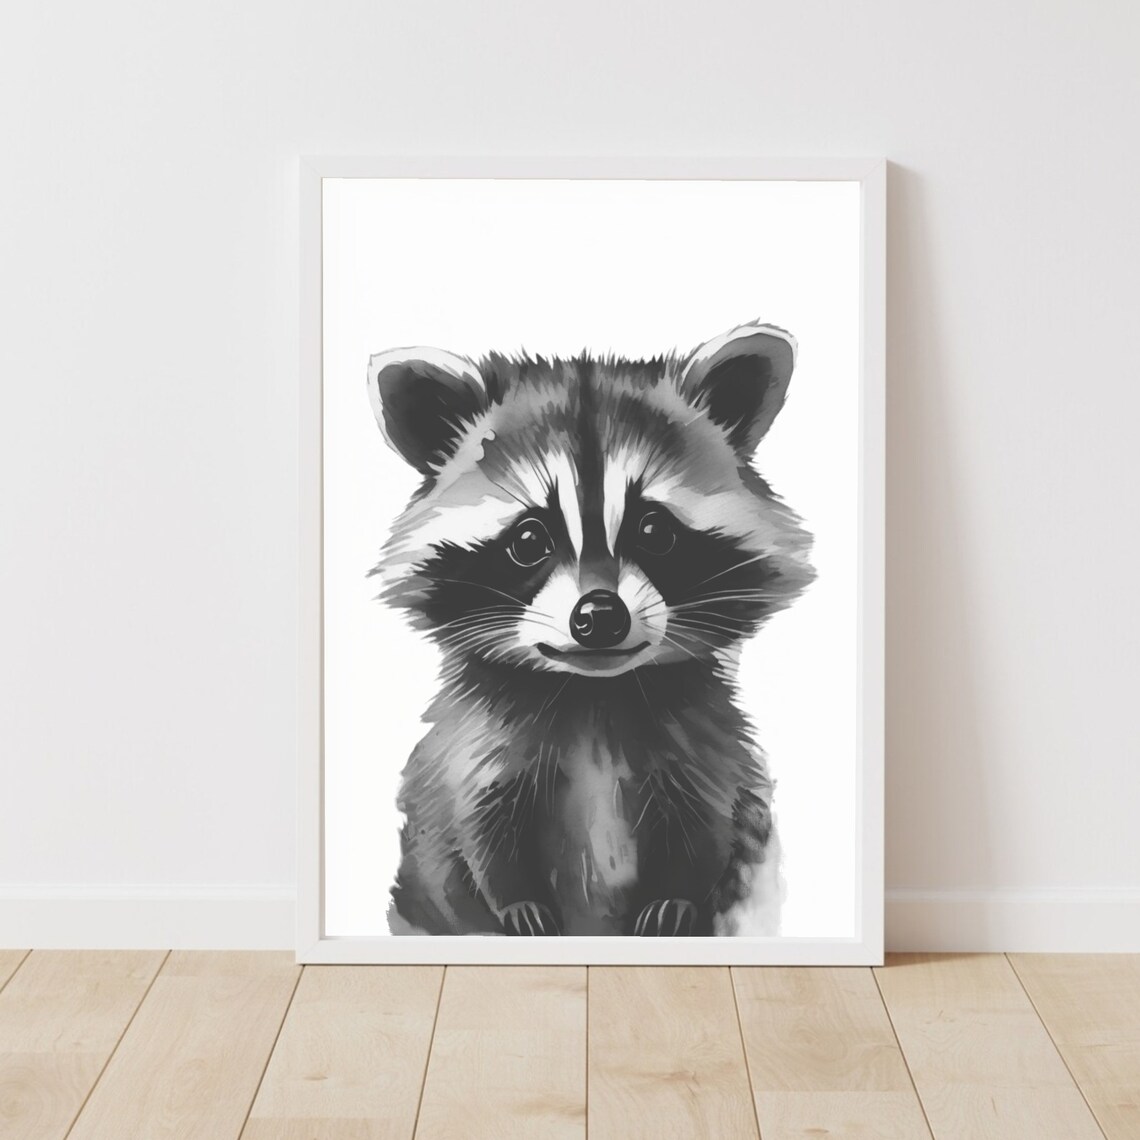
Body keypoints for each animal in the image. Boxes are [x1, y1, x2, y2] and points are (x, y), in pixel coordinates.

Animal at [367, 321, 815, 937]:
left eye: (654, 530)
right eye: (529, 538)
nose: (600, 615)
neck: (593, 694)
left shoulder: (704, 742)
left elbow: (708, 820)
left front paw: (677, 897)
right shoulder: (478, 744)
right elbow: (477, 821)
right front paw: (515, 900)